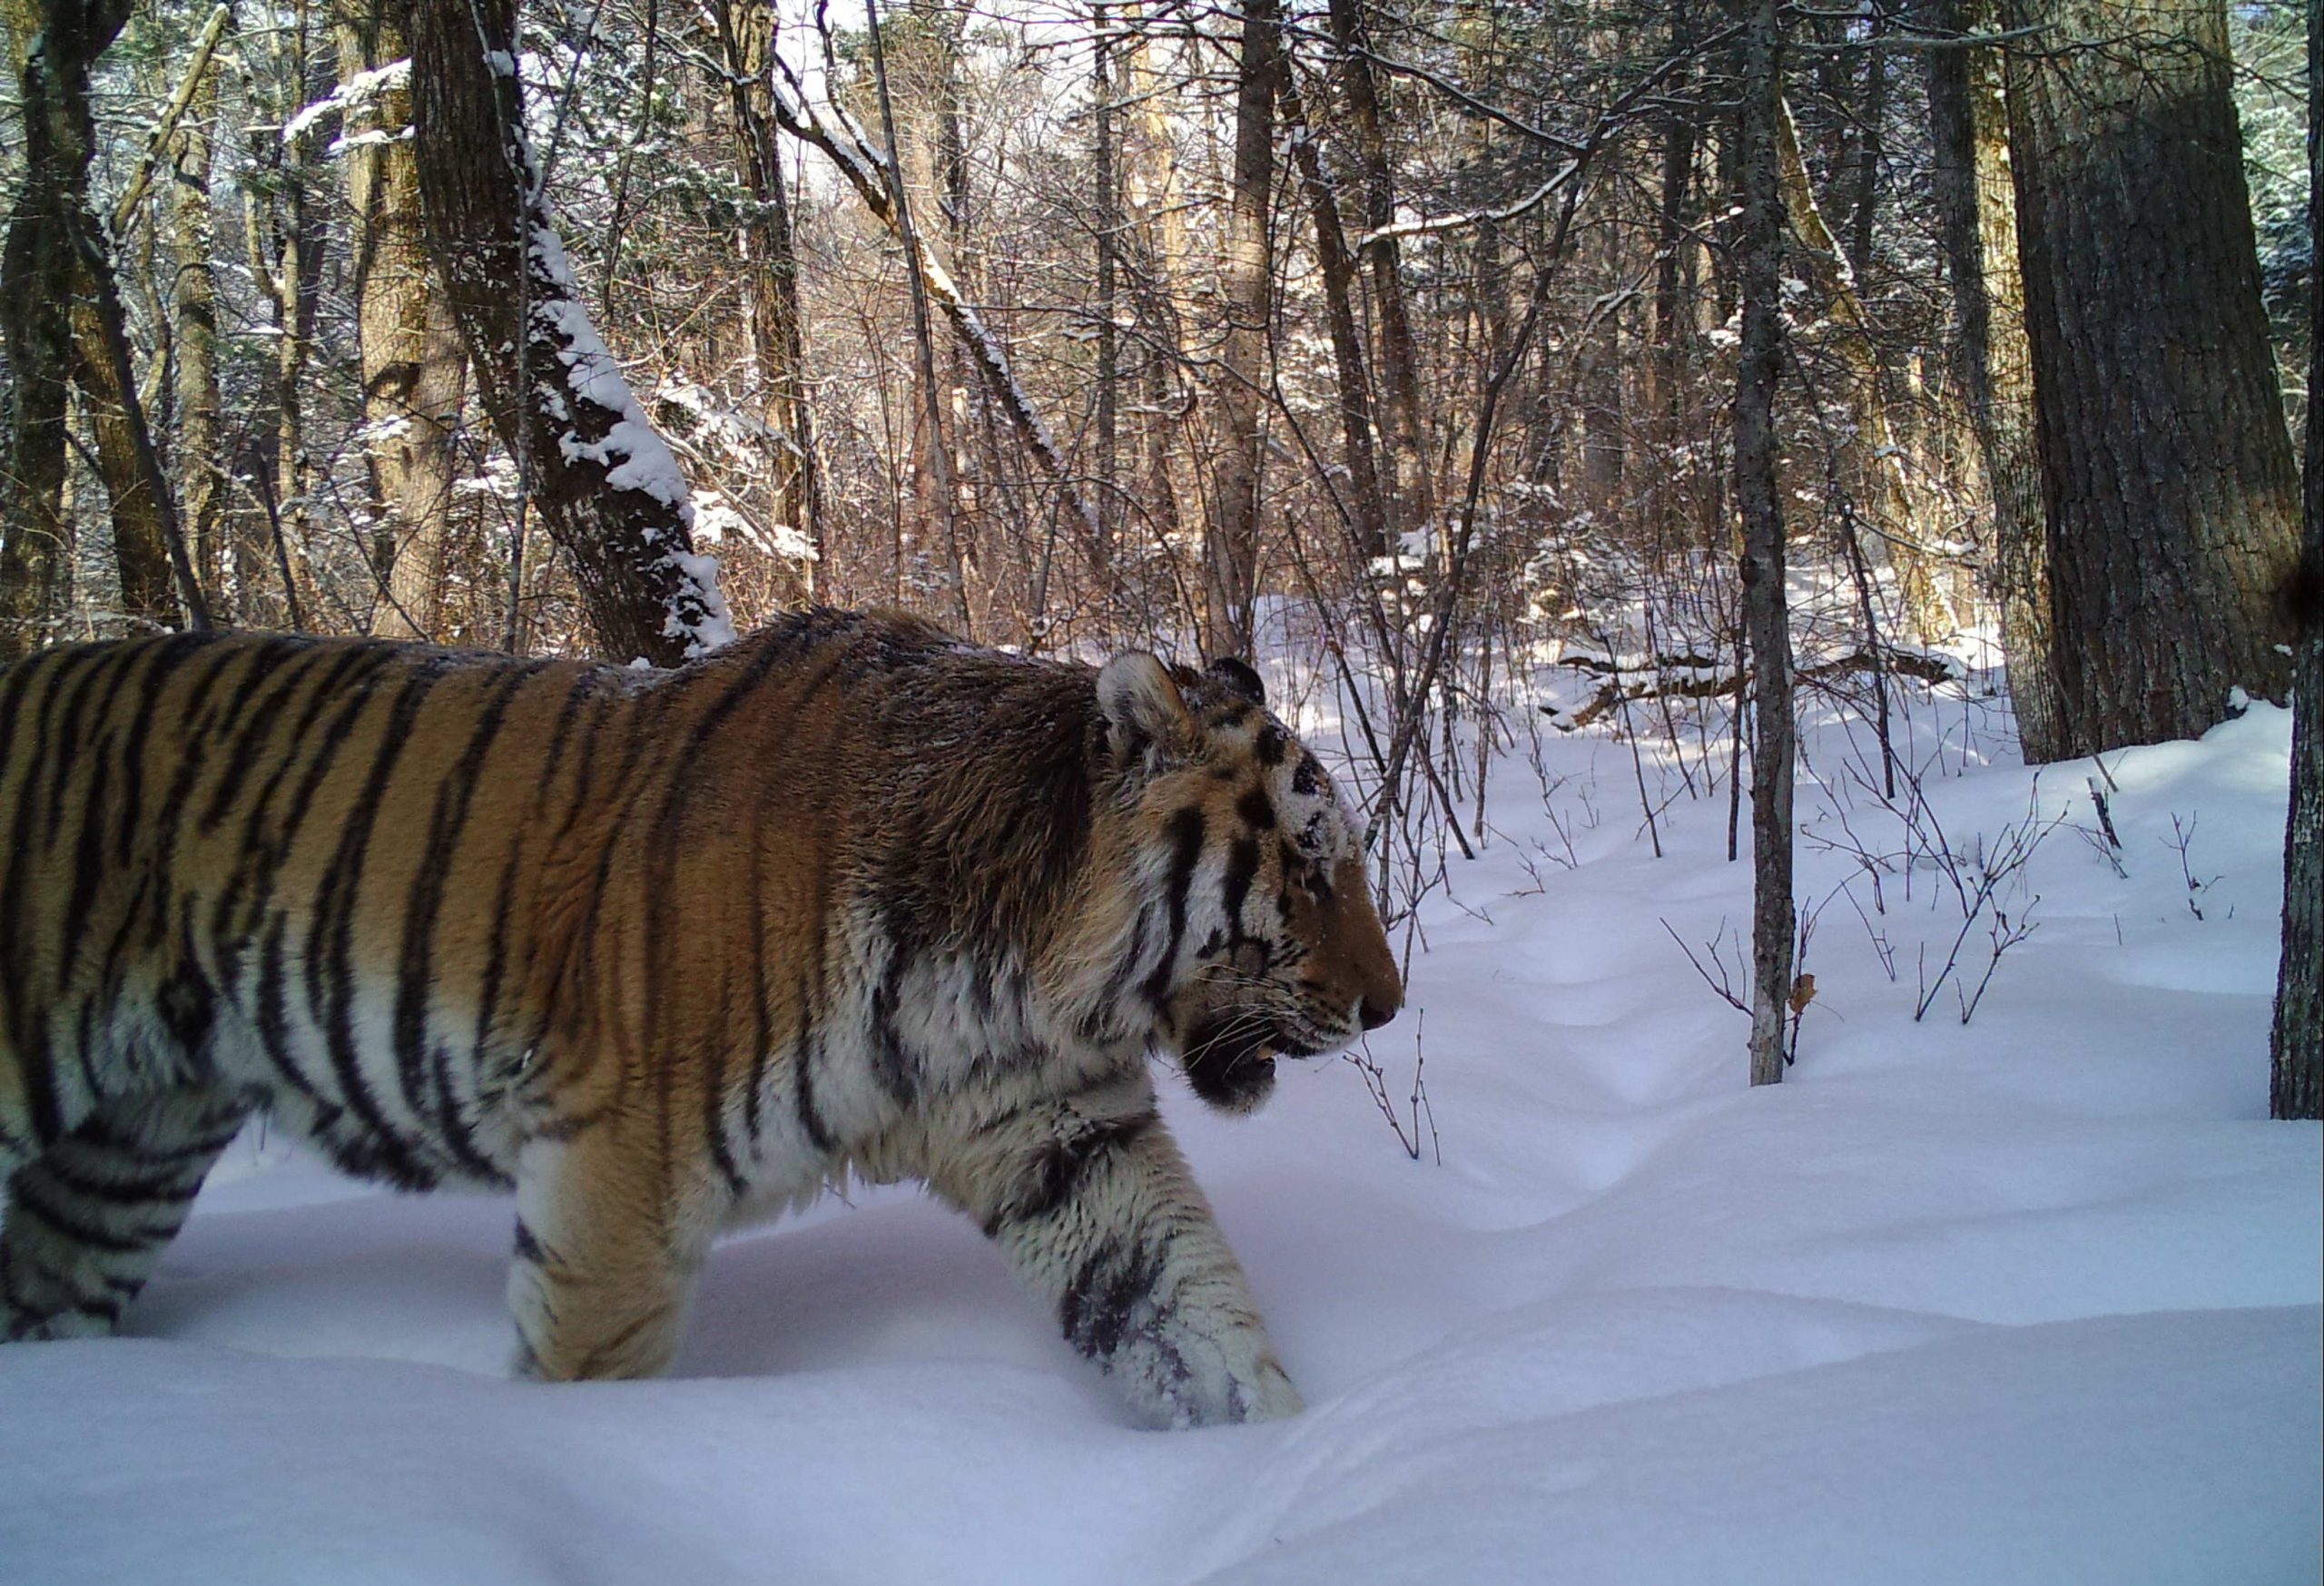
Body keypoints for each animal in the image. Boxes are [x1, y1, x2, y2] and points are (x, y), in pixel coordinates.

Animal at [0, 605, 1394, 1423]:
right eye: (1310, 864)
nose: (1387, 1005)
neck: (1016, 979)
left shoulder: (1064, 1141)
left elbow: (1190, 1315)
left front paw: (1280, 1469)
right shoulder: (615, 1170)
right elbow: (588, 1372)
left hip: (130, 1145)